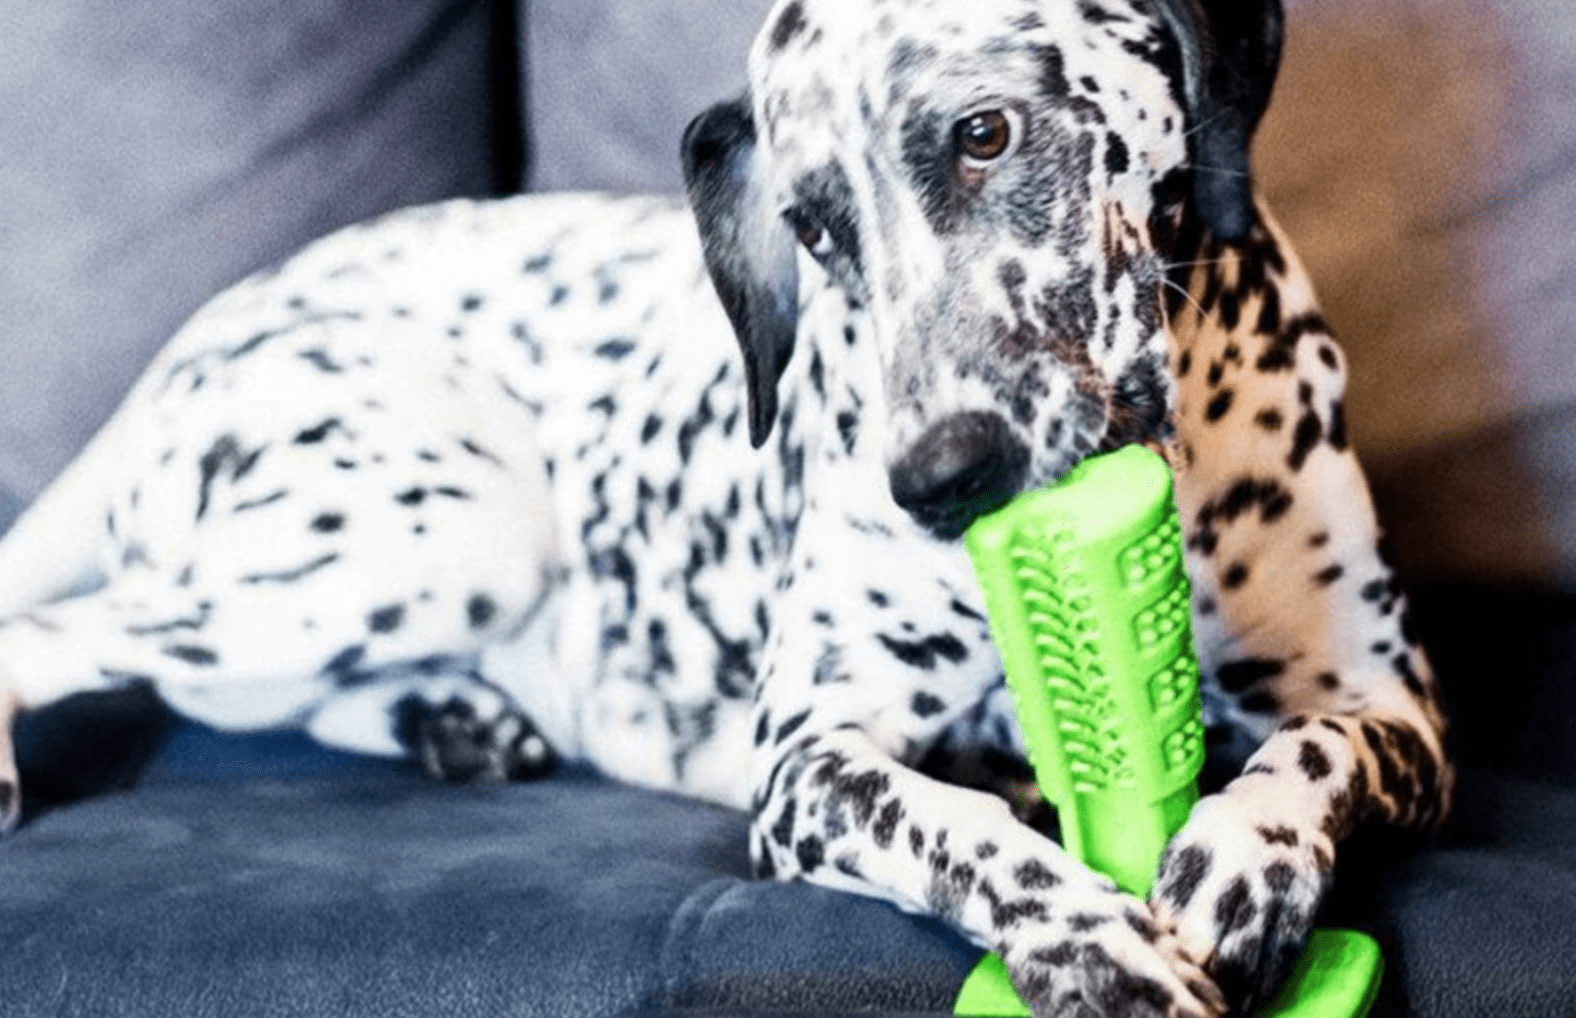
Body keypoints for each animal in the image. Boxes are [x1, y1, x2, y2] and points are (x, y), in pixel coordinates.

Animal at [0, 0, 1449, 1014]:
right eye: (812, 229)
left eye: (984, 132)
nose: (937, 479)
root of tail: (193, 338)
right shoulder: (809, 759)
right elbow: (959, 829)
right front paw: (1084, 936)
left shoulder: (1394, 706)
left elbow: (1313, 749)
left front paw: (1246, 856)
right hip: (439, 529)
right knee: (60, 638)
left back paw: (455, 720)